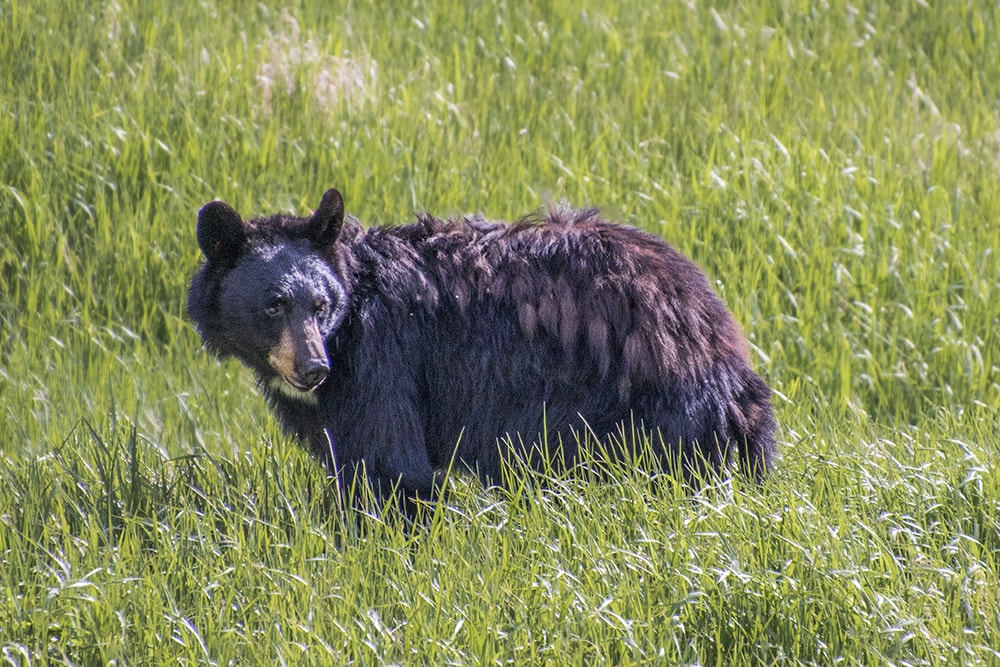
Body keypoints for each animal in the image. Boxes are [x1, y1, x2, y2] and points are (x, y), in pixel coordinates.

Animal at [191, 190, 776, 508]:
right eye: (273, 305)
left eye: (319, 302)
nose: (313, 368)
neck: (352, 308)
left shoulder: (383, 359)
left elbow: (391, 464)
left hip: (642, 406)